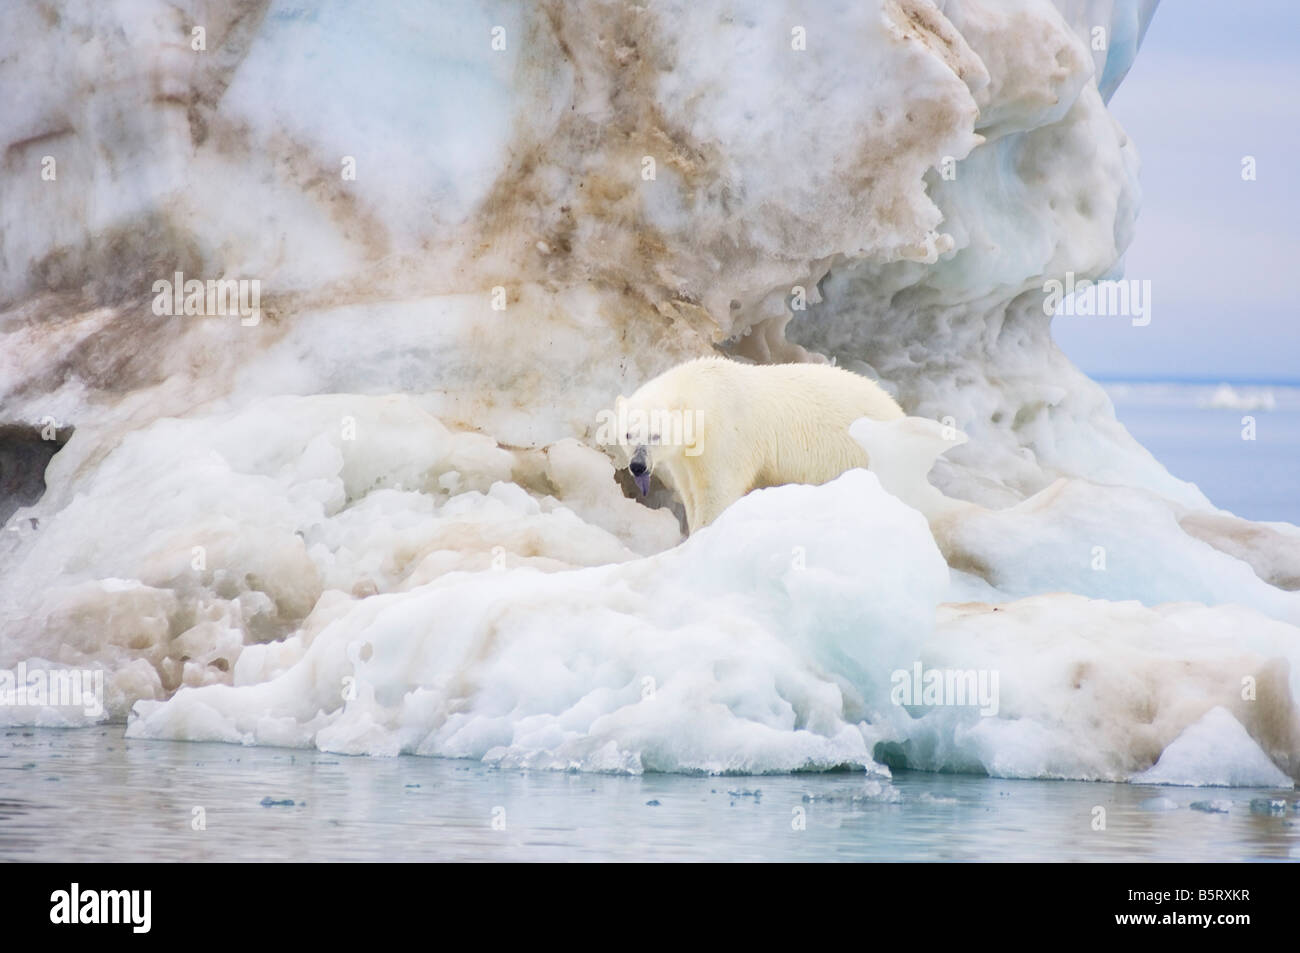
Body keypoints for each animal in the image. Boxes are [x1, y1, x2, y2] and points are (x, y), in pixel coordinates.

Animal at [611, 356, 905, 532]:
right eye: (627, 434)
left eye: (656, 434)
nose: (638, 466)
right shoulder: (685, 457)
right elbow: (691, 492)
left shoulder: (726, 438)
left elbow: (717, 491)